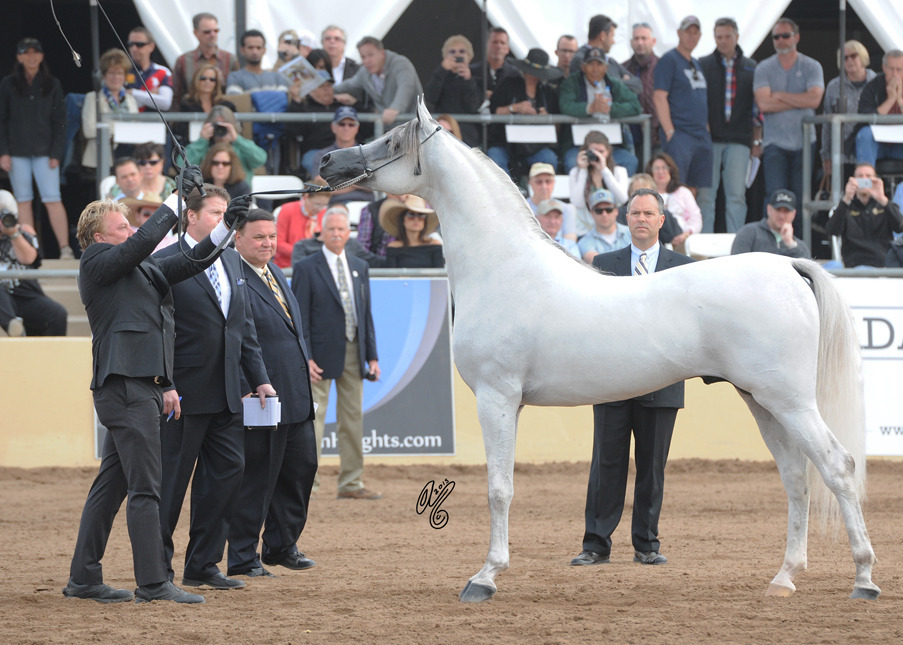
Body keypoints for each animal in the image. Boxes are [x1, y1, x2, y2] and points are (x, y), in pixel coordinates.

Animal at [318, 98, 879, 603]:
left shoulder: (496, 398)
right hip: (762, 402)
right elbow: (505, 485)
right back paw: (784, 578)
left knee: (838, 467)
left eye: (393, 143)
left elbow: (499, 488)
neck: (504, 269)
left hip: (790, 402)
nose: (327, 161)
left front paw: (485, 578)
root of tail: (788, 267)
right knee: (797, 478)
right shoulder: (508, 403)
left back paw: (864, 579)